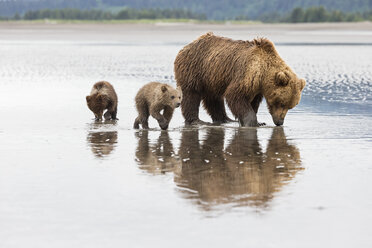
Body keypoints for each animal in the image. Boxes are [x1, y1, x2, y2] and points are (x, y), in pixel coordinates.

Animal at [174, 31, 306, 126]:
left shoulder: (257, 87)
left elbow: (253, 101)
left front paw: (259, 121)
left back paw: (225, 119)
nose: (279, 122)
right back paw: (196, 121)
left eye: (291, 106)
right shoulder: (248, 73)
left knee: (214, 98)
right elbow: (235, 95)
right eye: (281, 103)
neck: (263, 74)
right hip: (194, 69)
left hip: (212, 76)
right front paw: (252, 122)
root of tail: (186, 46)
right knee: (191, 94)